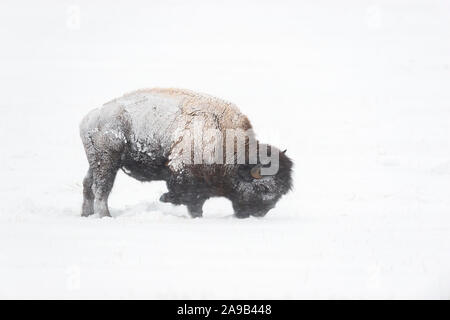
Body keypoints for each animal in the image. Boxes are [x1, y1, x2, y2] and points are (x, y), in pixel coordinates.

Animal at [79, 88, 294, 218]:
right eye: (265, 188)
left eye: (282, 192)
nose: (260, 213)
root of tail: (90, 117)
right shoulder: (183, 173)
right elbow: (189, 199)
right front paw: (165, 198)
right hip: (107, 161)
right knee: (101, 189)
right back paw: (105, 216)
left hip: (96, 162)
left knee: (88, 185)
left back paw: (86, 214)